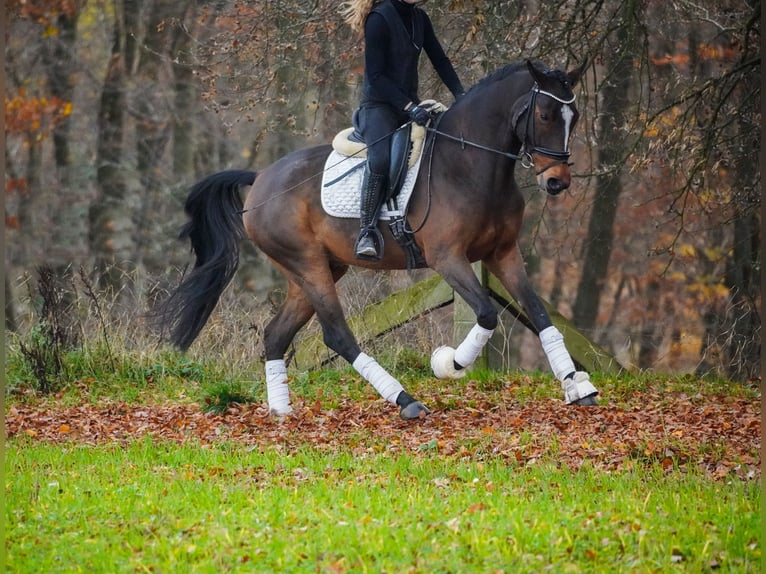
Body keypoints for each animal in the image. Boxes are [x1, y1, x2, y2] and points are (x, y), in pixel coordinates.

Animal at [157, 59, 599, 419]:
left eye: (573, 116)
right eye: (544, 114)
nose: (557, 182)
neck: (472, 165)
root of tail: (261, 177)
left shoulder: (502, 254)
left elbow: (539, 315)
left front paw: (578, 386)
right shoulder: (448, 258)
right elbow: (487, 314)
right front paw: (448, 364)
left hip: (316, 270)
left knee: (276, 335)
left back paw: (281, 411)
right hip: (308, 265)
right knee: (336, 334)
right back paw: (405, 401)